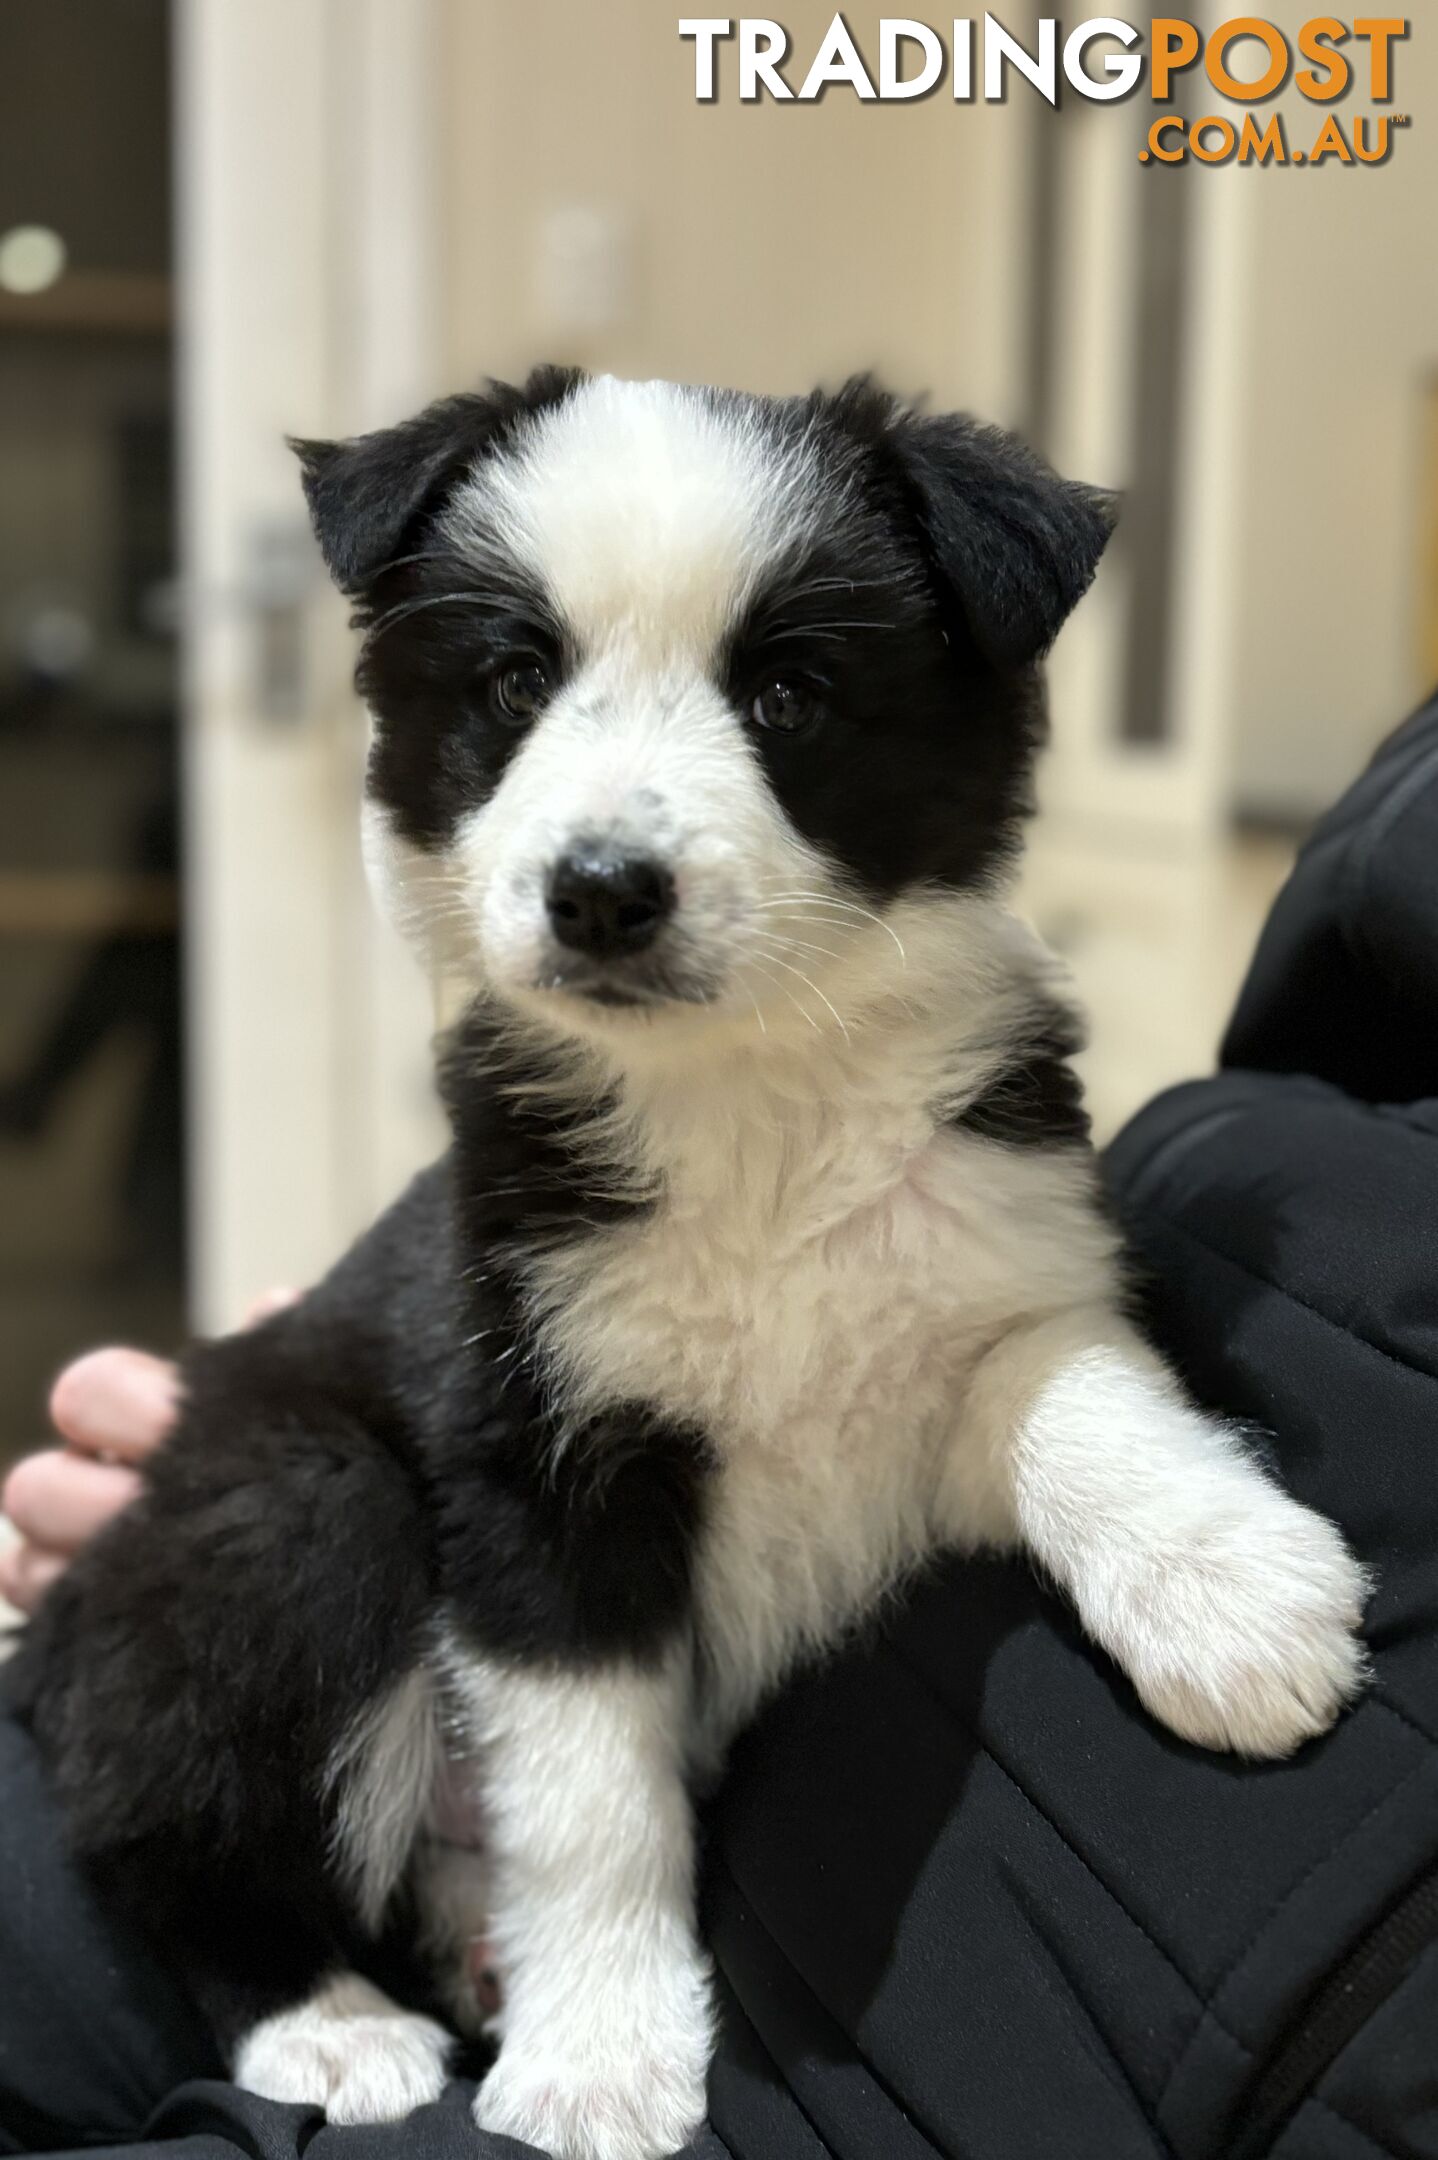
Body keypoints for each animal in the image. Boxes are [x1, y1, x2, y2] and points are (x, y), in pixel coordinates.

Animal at [14, 371, 1364, 2160]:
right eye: (516, 681)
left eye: (788, 693)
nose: (600, 892)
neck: (745, 1099)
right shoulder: (528, 1459)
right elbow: (592, 1795)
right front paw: (597, 2062)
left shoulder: (983, 1257)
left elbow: (1075, 1393)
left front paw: (1231, 1598)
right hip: (283, 1507)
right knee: (159, 1833)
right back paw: (327, 2027)